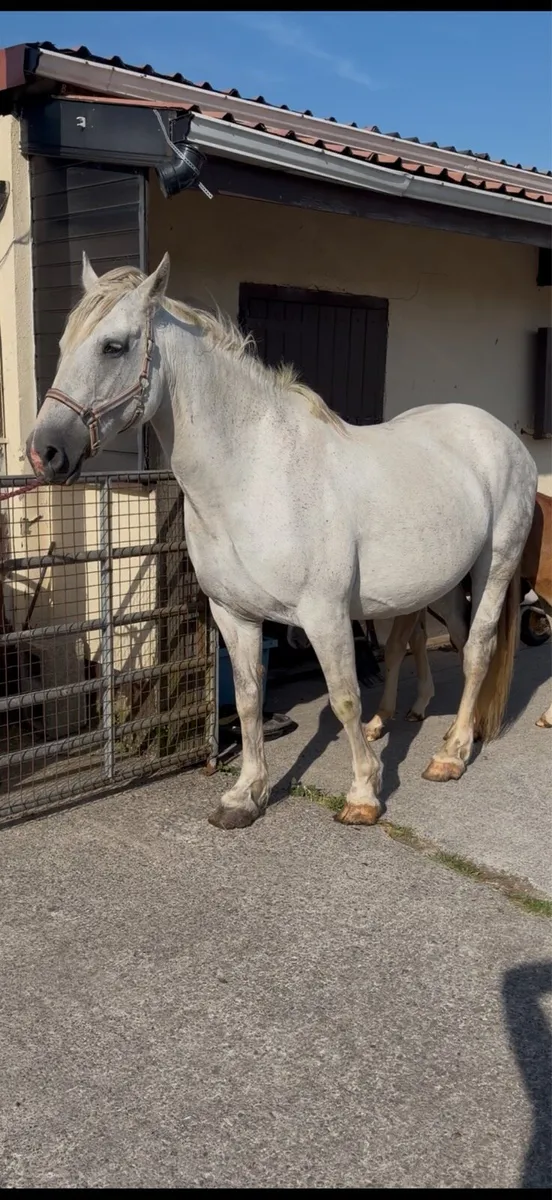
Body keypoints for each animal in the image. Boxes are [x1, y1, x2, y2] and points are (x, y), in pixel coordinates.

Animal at [26, 253, 538, 831]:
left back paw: (450, 754)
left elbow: (343, 700)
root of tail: (502, 436)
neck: (257, 474)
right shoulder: (234, 613)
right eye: (63, 344)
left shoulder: (325, 615)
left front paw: (363, 794)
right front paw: (245, 795)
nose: (45, 452)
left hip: (493, 567)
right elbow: (249, 697)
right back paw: (428, 724)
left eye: (113, 345)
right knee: (434, 639)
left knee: (477, 649)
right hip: (440, 585)